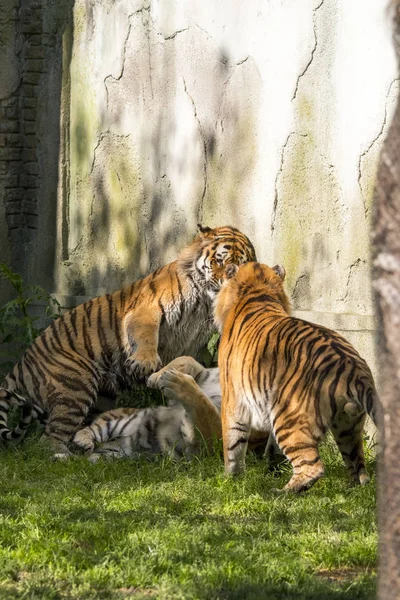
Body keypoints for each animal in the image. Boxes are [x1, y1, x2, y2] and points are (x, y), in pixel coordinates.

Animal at [0, 227, 256, 458]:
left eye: (239, 265)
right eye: (219, 260)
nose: (226, 281)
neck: (203, 300)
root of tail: (21, 364)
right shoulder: (147, 309)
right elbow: (145, 335)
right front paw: (145, 363)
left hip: (99, 396)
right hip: (74, 386)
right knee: (49, 437)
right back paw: (63, 456)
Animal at [214, 262, 380, 492]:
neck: (258, 293)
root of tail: (352, 367)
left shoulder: (232, 400)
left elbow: (233, 445)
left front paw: (231, 479)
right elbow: (270, 447)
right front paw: (271, 468)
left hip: (288, 418)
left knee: (313, 467)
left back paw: (279, 492)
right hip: (348, 426)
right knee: (359, 467)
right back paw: (352, 488)